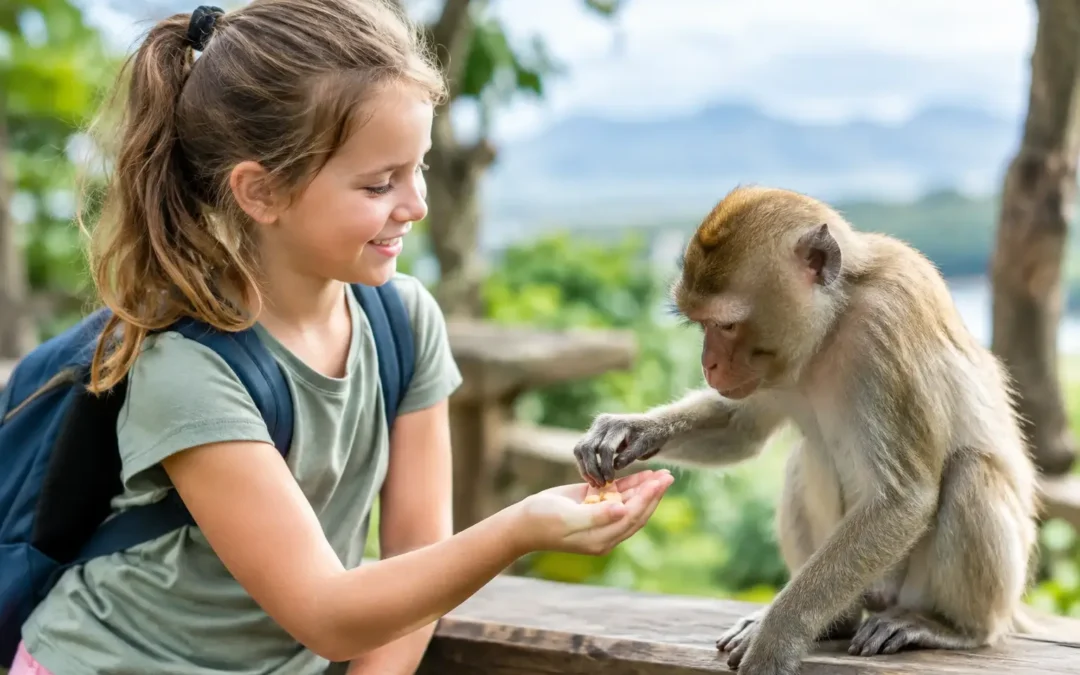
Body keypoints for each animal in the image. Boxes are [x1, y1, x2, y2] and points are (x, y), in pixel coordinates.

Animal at [572, 185, 1040, 675]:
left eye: (725, 324)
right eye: (701, 325)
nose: (709, 364)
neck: (833, 324)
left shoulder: (887, 323)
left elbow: (903, 499)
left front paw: (774, 639)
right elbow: (741, 429)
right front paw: (627, 431)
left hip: (960, 591)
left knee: (971, 473)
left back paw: (949, 626)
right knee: (807, 457)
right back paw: (837, 622)